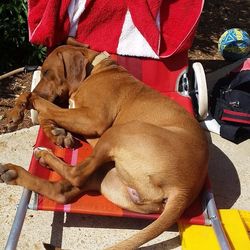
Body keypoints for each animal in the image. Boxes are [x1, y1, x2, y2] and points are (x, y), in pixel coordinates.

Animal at [0, 42, 208, 249]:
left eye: (48, 73)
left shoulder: (93, 118)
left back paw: (43, 155)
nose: (37, 91)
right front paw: (47, 128)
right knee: (62, 192)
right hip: (110, 176)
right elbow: (46, 111)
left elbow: (40, 105)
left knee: (77, 174)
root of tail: (184, 190)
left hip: (119, 133)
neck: (94, 70)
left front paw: (25, 109)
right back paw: (14, 173)